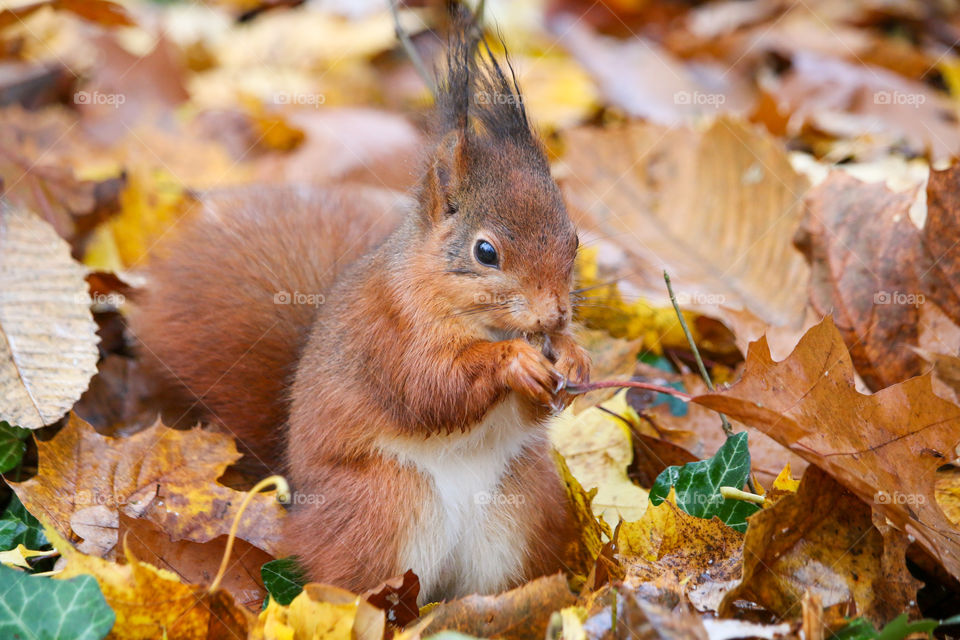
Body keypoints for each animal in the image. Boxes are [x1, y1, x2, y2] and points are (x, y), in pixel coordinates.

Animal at [132, 7, 588, 604]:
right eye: (485, 252)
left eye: (575, 241)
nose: (556, 315)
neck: (479, 322)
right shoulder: (388, 331)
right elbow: (429, 388)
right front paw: (515, 362)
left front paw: (574, 357)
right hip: (385, 505)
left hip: (522, 506)